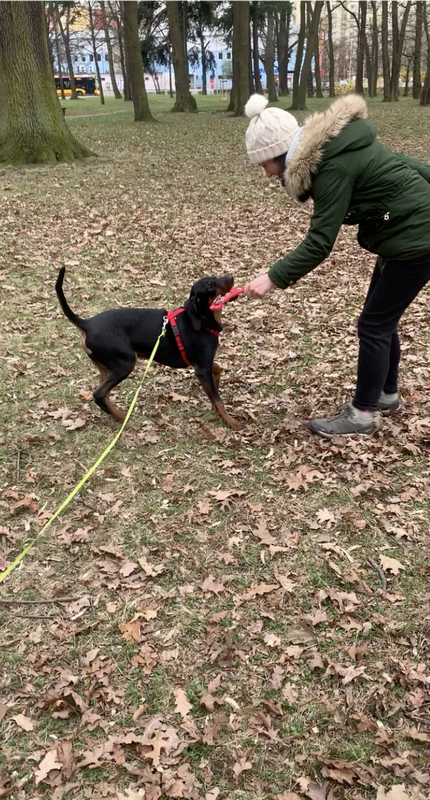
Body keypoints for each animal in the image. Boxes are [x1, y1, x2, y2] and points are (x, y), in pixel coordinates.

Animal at [54, 268, 242, 432]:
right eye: (210, 285)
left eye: (215, 277)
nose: (231, 277)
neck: (202, 321)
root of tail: (87, 324)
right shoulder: (202, 369)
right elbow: (218, 400)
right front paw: (231, 422)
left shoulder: (204, 364)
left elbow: (217, 371)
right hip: (125, 363)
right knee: (99, 394)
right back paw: (123, 417)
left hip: (106, 367)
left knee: (103, 394)